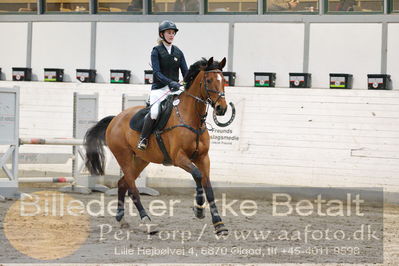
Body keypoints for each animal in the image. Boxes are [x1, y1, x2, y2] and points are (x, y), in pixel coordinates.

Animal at [83, 57, 230, 235]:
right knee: (132, 188)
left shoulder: (203, 158)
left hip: (141, 160)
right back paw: (147, 221)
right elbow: (197, 175)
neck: (191, 118)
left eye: (223, 80)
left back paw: (121, 219)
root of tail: (115, 119)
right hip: (123, 156)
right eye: (208, 80)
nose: (222, 108)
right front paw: (199, 209)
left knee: (122, 183)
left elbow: (208, 185)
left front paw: (219, 224)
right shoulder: (179, 158)